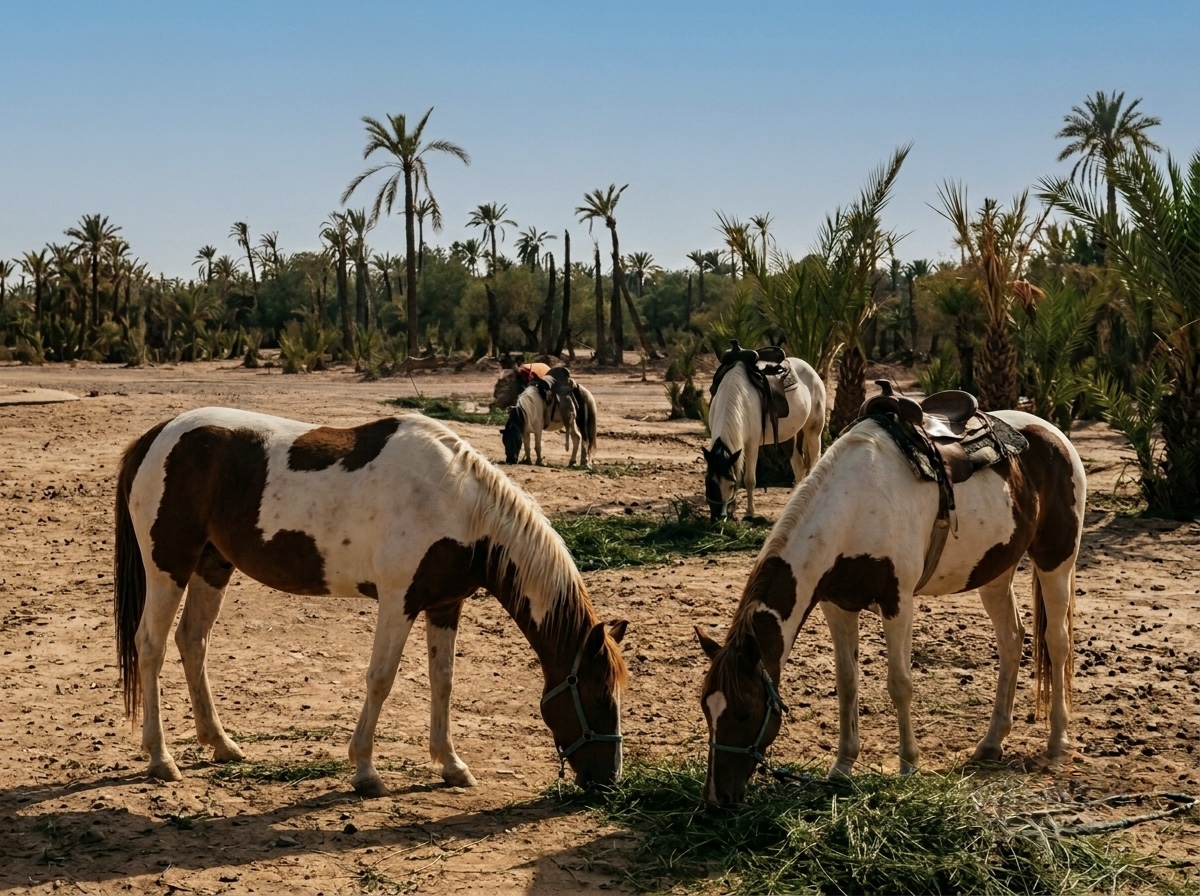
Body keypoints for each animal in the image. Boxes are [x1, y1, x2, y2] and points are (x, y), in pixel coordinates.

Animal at [114, 407, 628, 796]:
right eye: (599, 697)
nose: (608, 782)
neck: (456, 503)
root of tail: (157, 436)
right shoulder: (398, 602)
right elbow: (381, 679)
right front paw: (365, 771)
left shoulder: (445, 605)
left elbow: (443, 681)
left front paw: (451, 764)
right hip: (169, 566)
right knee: (151, 646)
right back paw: (161, 759)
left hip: (212, 566)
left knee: (192, 642)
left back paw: (221, 744)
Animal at [696, 410, 1084, 808]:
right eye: (706, 708)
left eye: (744, 712)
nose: (716, 798)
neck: (853, 507)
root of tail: (1053, 434)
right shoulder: (838, 606)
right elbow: (847, 684)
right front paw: (842, 767)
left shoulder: (898, 603)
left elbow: (900, 684)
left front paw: (909, 765)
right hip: (995, 572)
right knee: (1011, 640)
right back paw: (991, 742)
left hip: (1057, 560)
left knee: (1057, 643)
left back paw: (1057, 742)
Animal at [703, 356, 826, 521]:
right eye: (709, 483)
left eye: (731, 484)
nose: (718, 518)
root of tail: (810, 369)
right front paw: (733, 511)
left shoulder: (752, 445)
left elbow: (749, 480)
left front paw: (749, 513)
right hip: (788, 438)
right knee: (799, 467)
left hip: (813, 432)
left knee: (814, 461)